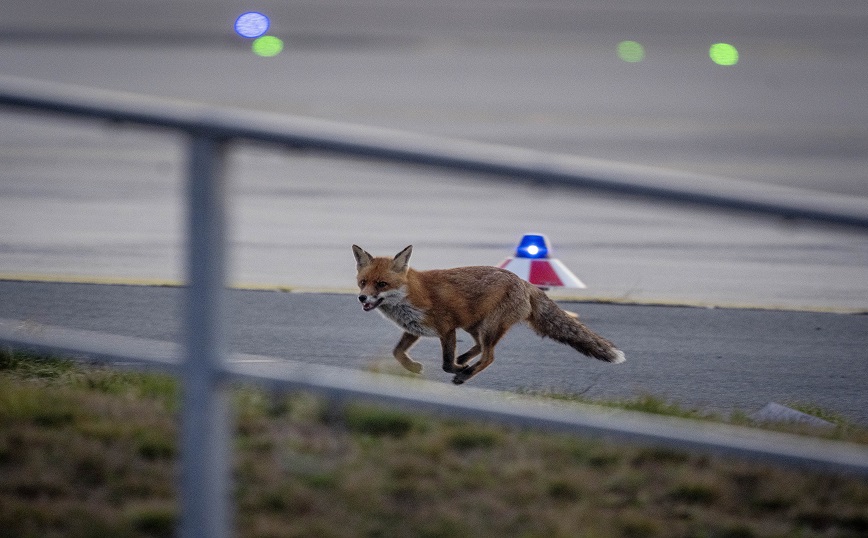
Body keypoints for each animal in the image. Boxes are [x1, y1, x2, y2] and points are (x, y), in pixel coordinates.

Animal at [352, 245, 624, 384]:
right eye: (363, 282)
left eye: (381, 284)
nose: (362, 298)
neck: (411, 296)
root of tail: (524, 282)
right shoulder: (414, 329)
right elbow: (397, 352)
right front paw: (413, 368)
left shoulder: (447, 328)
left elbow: (446, 362)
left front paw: (457, 369)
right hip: (476, 325)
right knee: (480, 348)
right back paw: (466, 361)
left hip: (488, 327)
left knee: (489, 356)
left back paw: (465, 373)